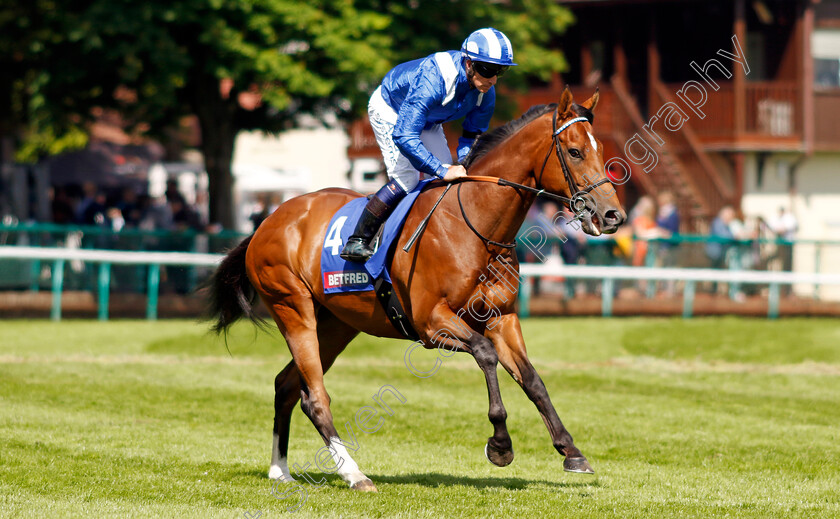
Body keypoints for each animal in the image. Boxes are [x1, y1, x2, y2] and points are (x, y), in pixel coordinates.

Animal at [205, 87, 624, 494]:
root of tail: (267, 221)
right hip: (293, 310)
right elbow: (485, 355)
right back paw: (354, 474)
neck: (475, 225)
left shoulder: (502, 318)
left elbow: (533, 380)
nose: (612, 216)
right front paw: (500, 445)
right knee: (316, 396)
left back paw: (280, 470)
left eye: (601, 150)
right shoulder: (431, 322)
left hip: (337, 324)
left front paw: (571, 451)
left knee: (288, 385)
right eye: (574, 151)